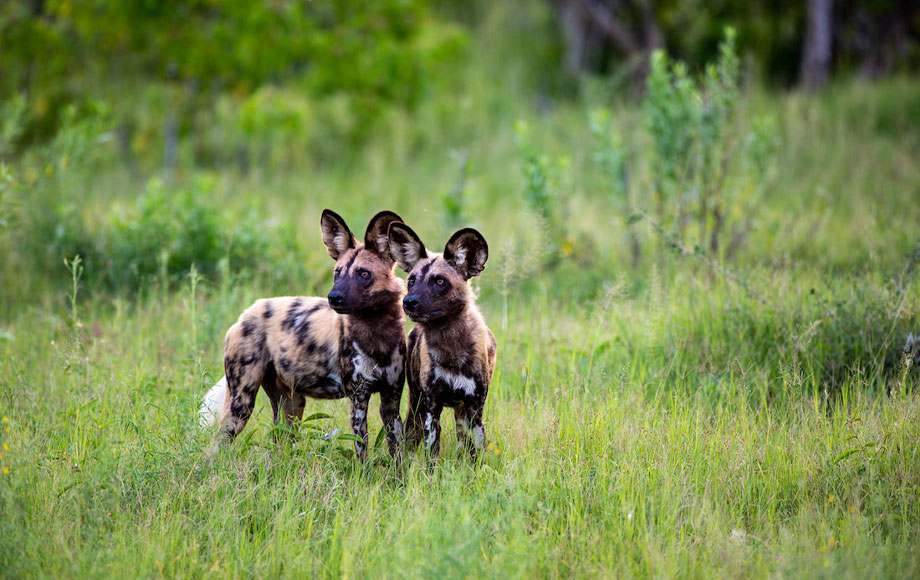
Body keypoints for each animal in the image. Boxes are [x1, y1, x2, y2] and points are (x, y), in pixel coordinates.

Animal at [203, 211, 408, 460]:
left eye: (363, 273)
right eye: (337, 273)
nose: (333, 297)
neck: (377, 334)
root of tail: (245, 314)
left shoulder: (391, 400)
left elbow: (397, 452)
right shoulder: (358, 399)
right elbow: (362, 450)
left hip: (292, 406)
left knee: (277, 445)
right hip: (240, 404)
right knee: (214, 448)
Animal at [384, 224, 496, 460]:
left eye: (439, 281)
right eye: (411, 280)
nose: (408, 302)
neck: (451, 349)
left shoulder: (475, 413)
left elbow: (476, 458)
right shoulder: (431, 410)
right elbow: (431, 459)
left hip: (462, 415)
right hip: (416, 406)